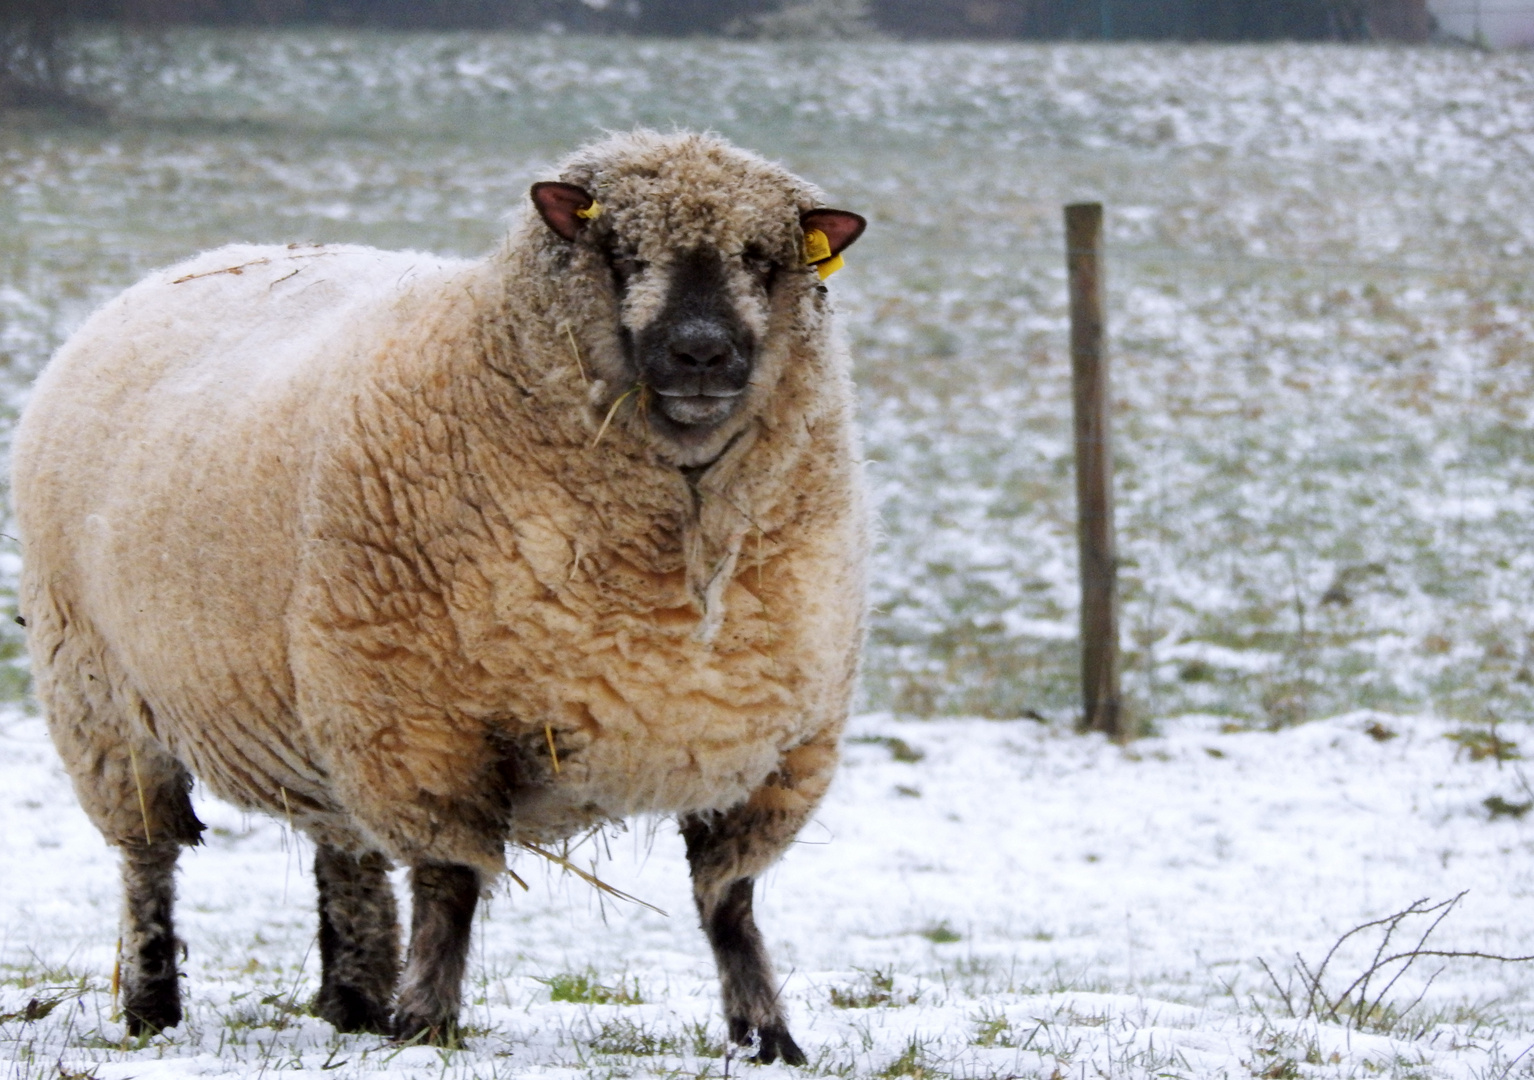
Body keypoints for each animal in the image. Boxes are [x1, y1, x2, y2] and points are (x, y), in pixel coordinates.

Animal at [11, 128, 871, 1061]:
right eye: (619, 252)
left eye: (764, 260)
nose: (703, 353)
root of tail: (190, 267)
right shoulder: (423, 726)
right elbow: (450, 886)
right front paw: (427, 1023)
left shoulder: (766, 745)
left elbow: (730, 905)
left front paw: (767, 1037)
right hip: (103, 698)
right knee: (148, 860)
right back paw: (151, 1004)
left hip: (321, 703)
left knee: (344, 851)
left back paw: (353, 998)